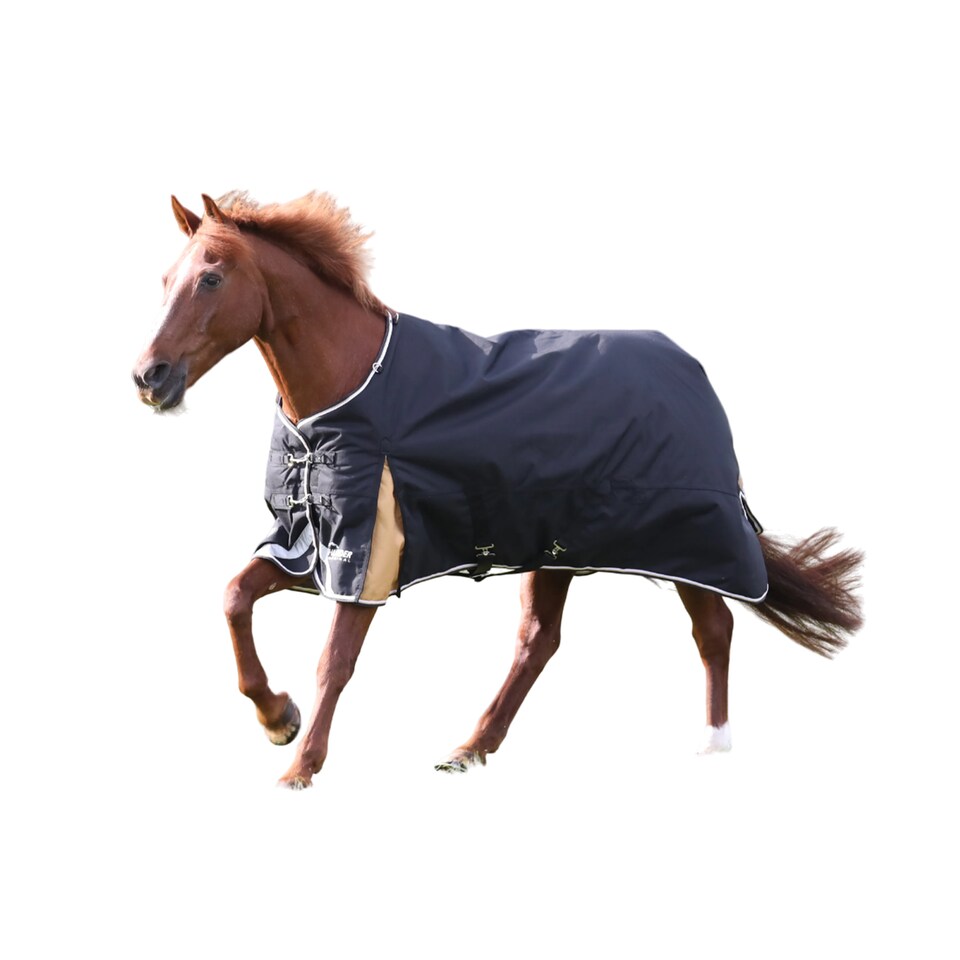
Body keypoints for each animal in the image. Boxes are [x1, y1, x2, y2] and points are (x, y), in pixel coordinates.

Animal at [133, 191, 863, 790]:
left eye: (211, 276)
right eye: (167, 279)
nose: (149, 377)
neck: (351, 386)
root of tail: (694, 370)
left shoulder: (367, 552)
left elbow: (334, 661)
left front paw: (300, 765)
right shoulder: (308, 546)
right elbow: (235, 597)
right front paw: (277, 717)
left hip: (689, 537)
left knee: (713, 627)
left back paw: (712, 745)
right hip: (562, 545)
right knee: (540, 641)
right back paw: (469, 749)